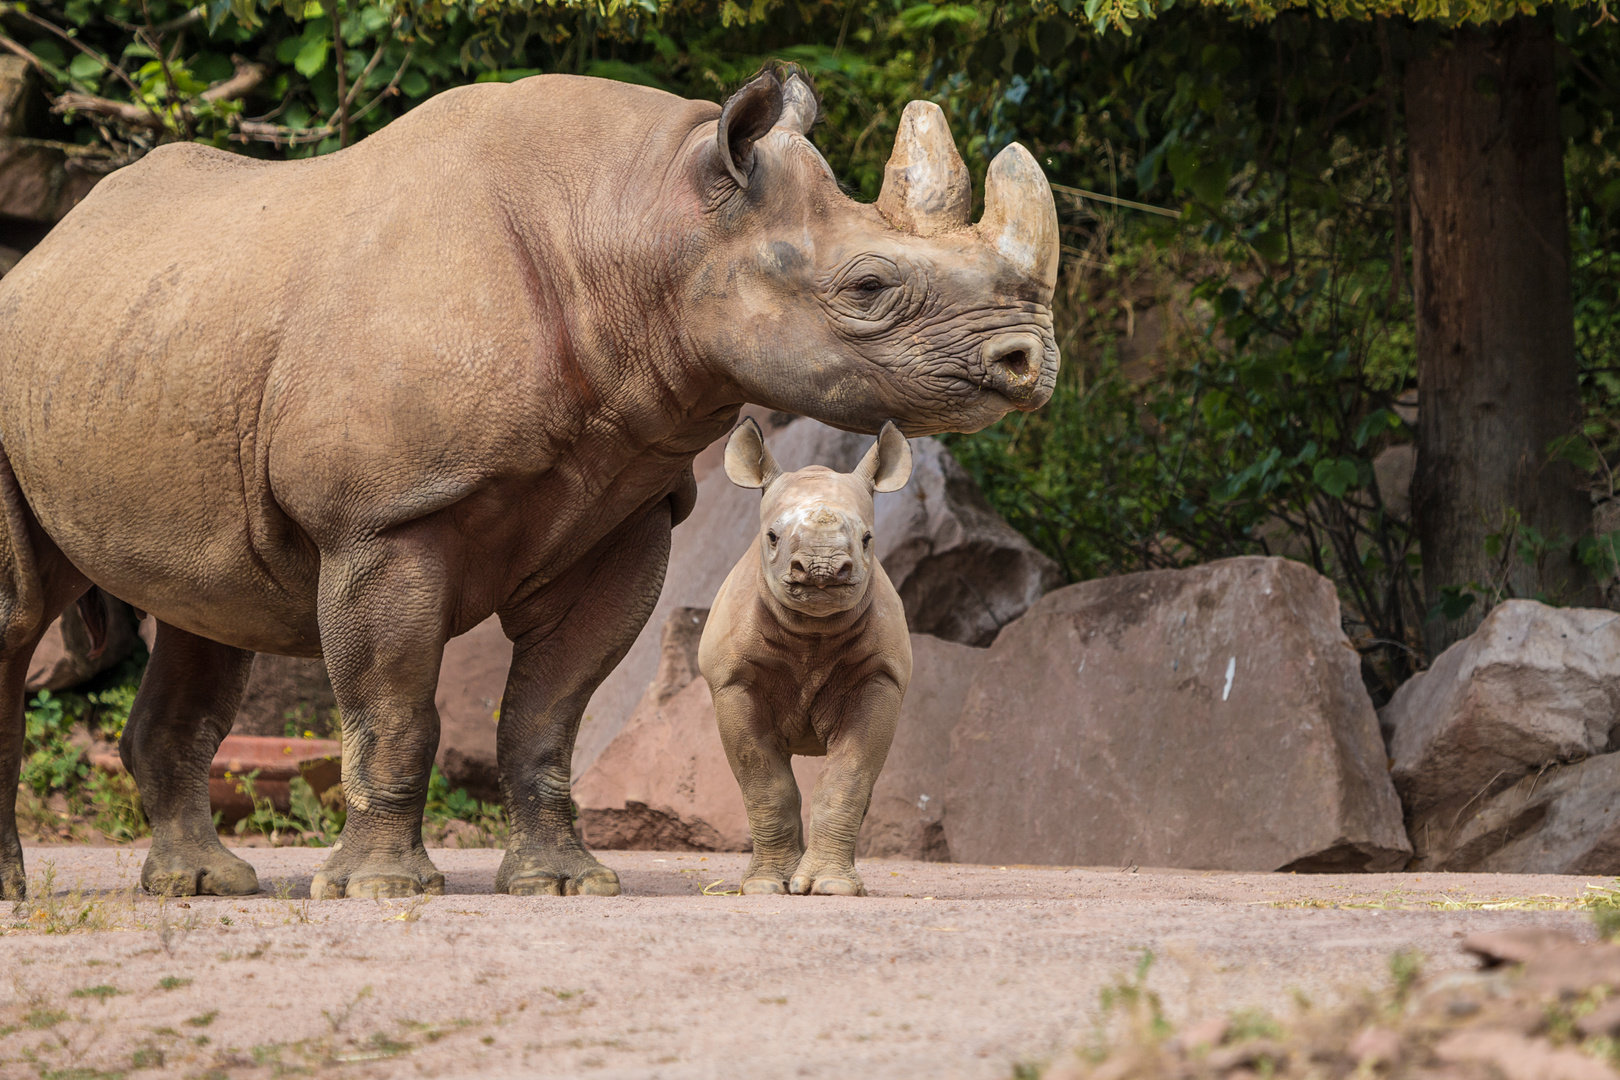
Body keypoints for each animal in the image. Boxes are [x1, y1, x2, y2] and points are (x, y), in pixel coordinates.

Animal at [703, 414, 920, 893]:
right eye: (771, 537)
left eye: (867, 538)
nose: (823, 570)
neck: (811, 631)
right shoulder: (732, 680)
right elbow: (764, 783)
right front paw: (765, 887)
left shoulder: (880, 676)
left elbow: (848, 777)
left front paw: (831, 886)